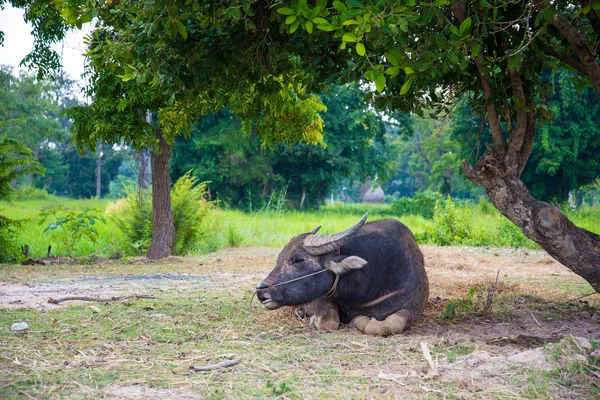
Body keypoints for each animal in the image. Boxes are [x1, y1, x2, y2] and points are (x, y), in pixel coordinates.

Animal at [255, 214, 428, 336]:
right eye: (278, 259)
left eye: (298, 259)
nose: (261, 291)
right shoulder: (319, 296)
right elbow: (329, 320)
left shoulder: (412, 307)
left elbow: (392, 324)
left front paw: (359, 320)